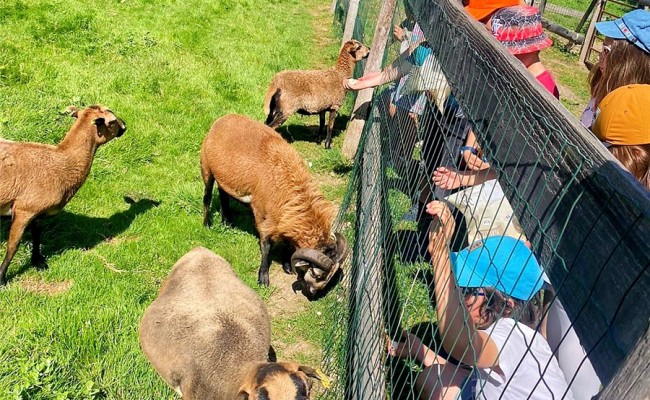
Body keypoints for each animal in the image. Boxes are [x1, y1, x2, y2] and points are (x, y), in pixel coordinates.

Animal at [0, 104, 126, 286]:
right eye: (113, 121)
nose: (125, 126)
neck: (63, 162)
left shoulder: (37, 211)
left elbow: (37, 234)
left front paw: (38, 262)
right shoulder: (25, 209)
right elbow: (13, 245)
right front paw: (2, 278)